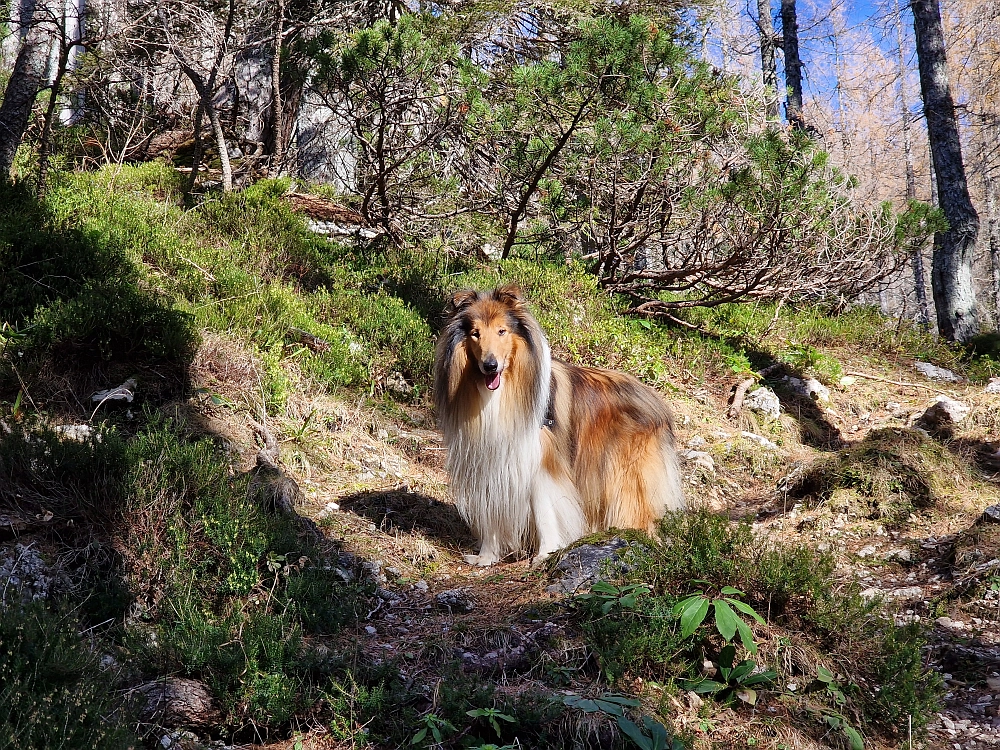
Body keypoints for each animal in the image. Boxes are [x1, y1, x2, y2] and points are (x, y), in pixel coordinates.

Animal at [434, 284, 684, 568]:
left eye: (502, 331)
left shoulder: (542, 462)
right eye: (475, 334)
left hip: (626, 477)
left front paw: (546, 554)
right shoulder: (489, 460)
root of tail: (654, 398)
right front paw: (486, 557)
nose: (490, 366)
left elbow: (545, 511)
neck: (501, 393)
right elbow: (491, 513)